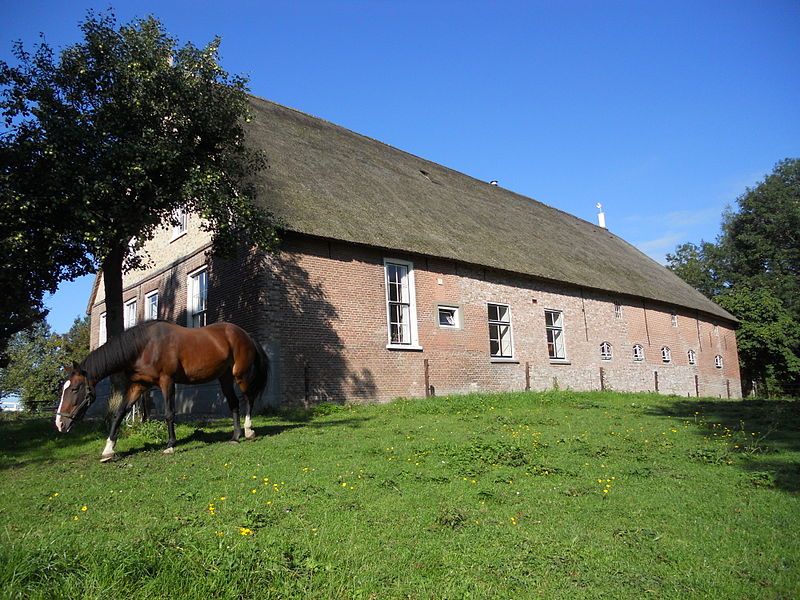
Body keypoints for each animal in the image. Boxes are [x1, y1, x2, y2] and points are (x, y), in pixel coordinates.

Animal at [55, 322, 272, 462]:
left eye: (75, 389)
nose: (60, 423)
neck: (144, 346)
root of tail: (245, 334)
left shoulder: (167, 381)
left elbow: (169, 413)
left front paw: (170, 445)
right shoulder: (137, 386)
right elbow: (119, 414)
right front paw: (108, 450)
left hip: (240, 375)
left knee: (248, 398)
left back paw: (249, 431)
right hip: (224, 377)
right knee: (234, 403)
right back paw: (235, 437)